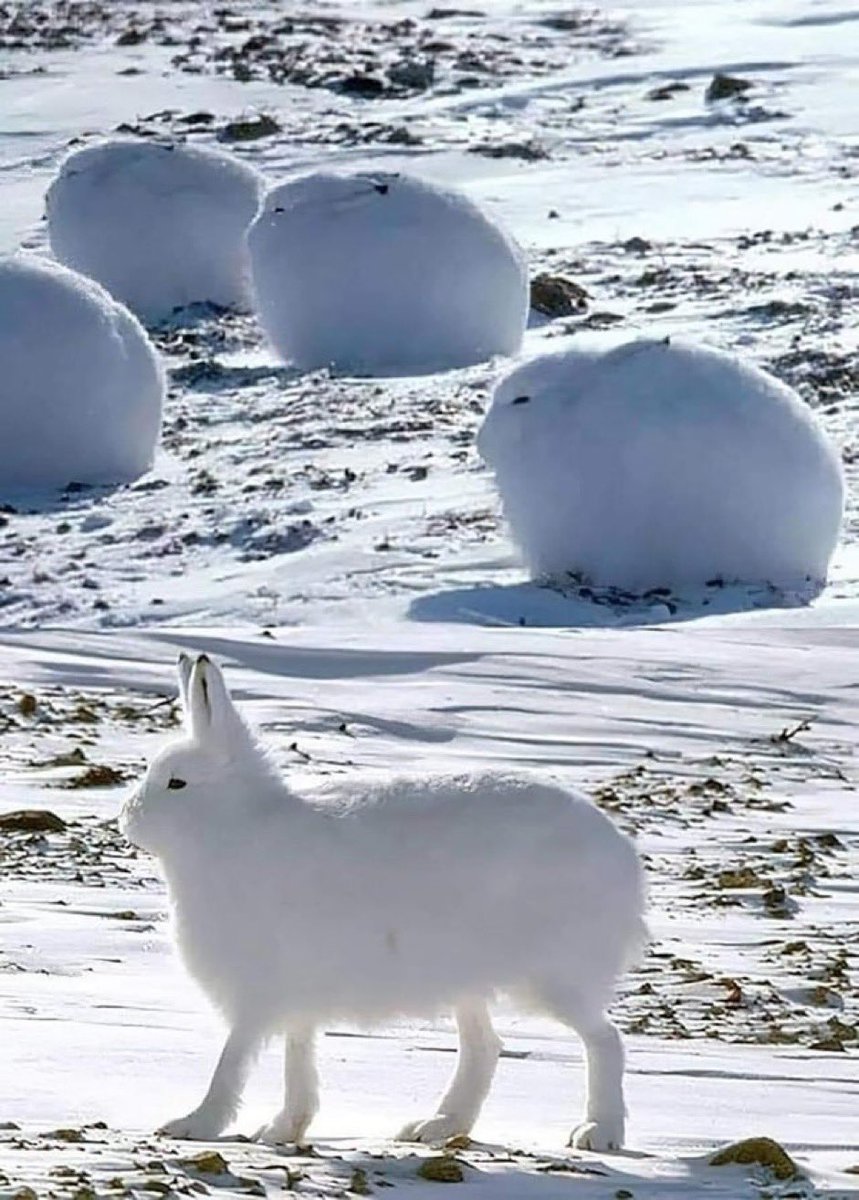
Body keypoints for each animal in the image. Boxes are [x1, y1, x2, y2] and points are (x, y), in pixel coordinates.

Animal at [120, 653, 647, 1151]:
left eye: (177, 783)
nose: (127, 818)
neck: (234, 825)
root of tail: (621, 857)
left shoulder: (258, 992)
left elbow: (233, 1059)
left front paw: (193, 1125)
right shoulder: (295, 1002)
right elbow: (298, 1061)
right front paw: (284, 1129)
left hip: (550, 976)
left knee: (604, 1040)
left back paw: (599, 1131)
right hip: (467, 982)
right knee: (484, 1047)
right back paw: (436, 1126)